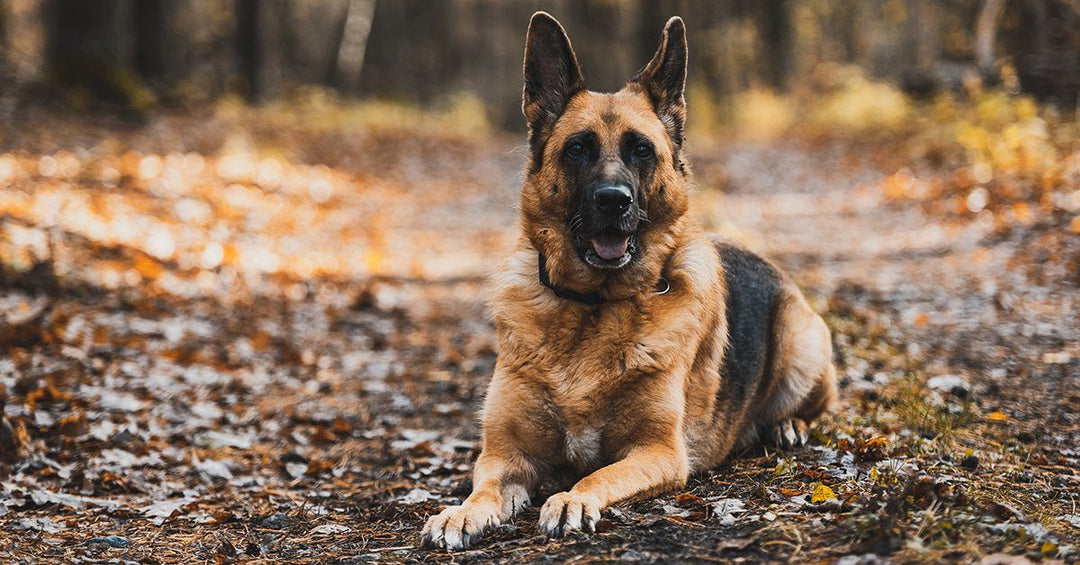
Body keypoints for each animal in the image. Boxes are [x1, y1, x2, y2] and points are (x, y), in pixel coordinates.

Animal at [419, 12, 833, 553]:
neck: (592, 306)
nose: (614, 200)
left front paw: (571, 500)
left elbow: (596, 475)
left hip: (804, 348)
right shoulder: (504, 456)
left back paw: (786, 426)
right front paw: (462, 512)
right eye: (578, 149)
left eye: (642, 150)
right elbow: (484, 489)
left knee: (805, 407)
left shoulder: (658, 452)